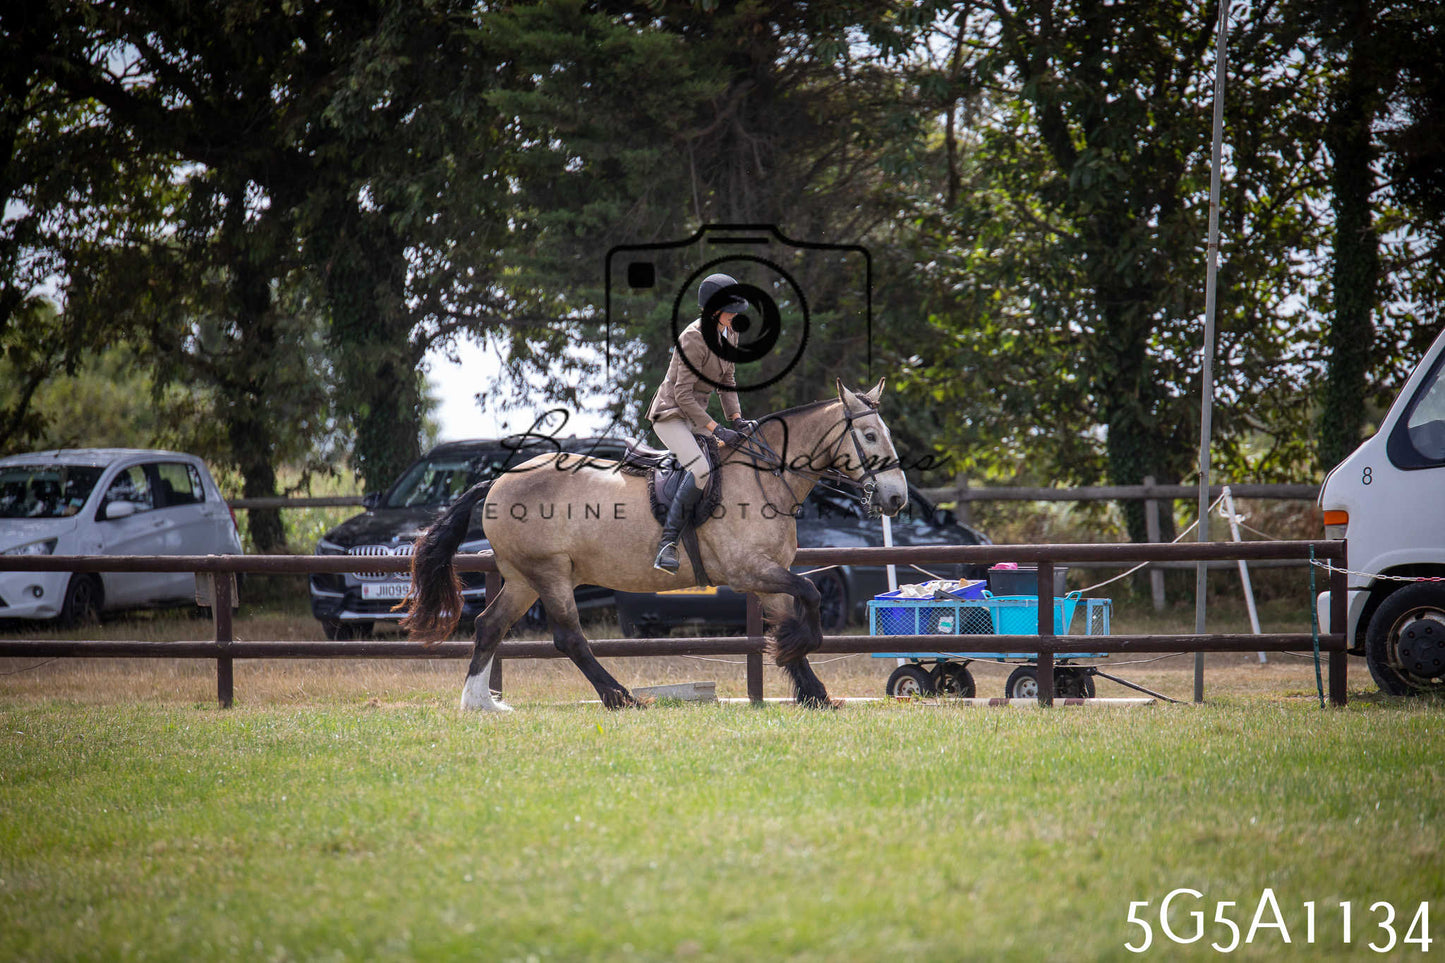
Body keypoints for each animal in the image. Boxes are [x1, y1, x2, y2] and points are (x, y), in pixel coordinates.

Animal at [400, 378, 909, 710]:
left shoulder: (767, 574)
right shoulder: (750, 569)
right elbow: (812, 595)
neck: (767, 476)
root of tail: (498, 481)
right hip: (550, 573)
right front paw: (799, 659)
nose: (896, 498)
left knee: (489, 626)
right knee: (568, 637)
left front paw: (813, 692)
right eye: (868, 435)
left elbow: (793, 614)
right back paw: (618, 697)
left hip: (524, 579)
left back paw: (480, 703)